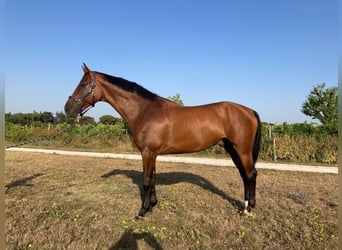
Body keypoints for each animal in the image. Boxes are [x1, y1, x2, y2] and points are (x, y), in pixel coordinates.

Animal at [65, 63, 262, 218]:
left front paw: (142, 211)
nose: (67, 109)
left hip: (242, 150)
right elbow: (152, 178)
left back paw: (248, 209)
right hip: (232, 149)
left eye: (83, 84)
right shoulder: (152, 154)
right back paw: (245, 206)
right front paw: (152, 206)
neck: (144, 110)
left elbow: (146, 180)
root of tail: (249, 111)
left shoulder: (147, 152)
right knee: (244, 175)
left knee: (250, 174)